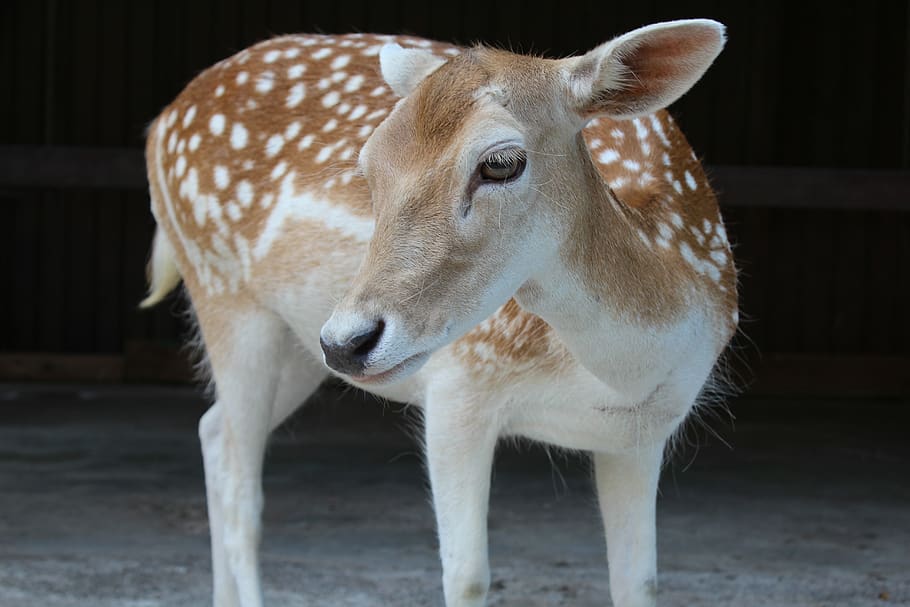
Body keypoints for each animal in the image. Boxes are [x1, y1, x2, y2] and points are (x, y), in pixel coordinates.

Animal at [140, 18, 737, 607]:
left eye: (500, 163)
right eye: (368, 166)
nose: (349, 342)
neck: (624, 372)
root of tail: (159, 123)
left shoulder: (643, 432)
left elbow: (641, 581)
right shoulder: (457, 385)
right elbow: (467, 575)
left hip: (298, 344)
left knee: (213, 431)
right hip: (225, 294)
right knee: (243, 496)